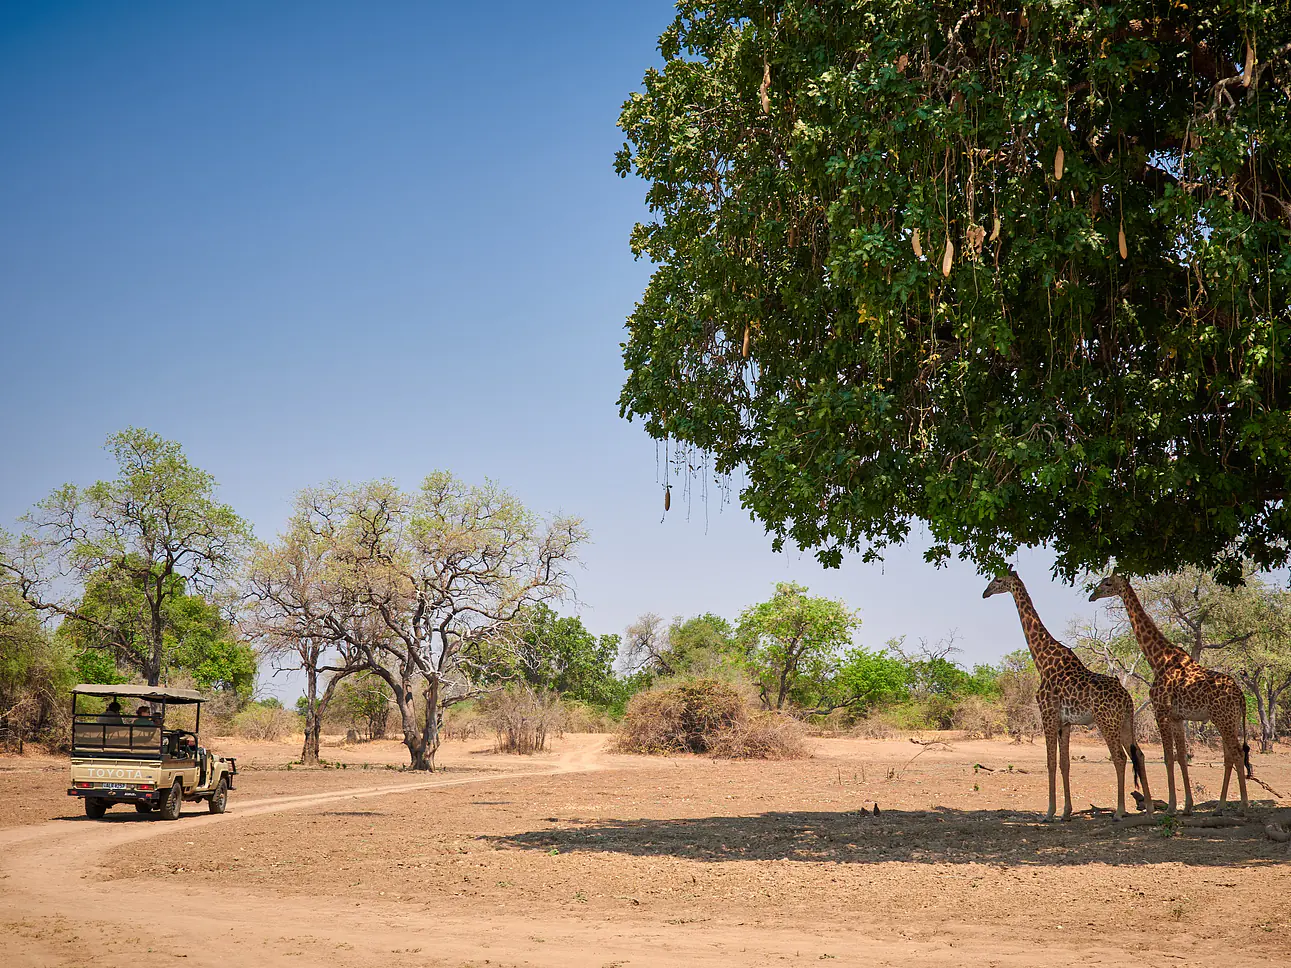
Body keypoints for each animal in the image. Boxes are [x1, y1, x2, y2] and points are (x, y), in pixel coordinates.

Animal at [986, 573, 1151, 820]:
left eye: (997, 580)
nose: (984, 593)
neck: (1042, 660)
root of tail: (1127, 700)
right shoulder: (1065, 722)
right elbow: (1065, 763)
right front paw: (1065, 812)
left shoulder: (1048, 715)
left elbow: (1050, 762)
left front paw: (1049, 813)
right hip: (1125, 723)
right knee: (1138, 754)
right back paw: (1149, 807)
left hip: (1106, 721)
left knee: (1120, 758)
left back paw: (1120, 811)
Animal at [1089, 575, 1249, 820]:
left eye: (1107, 583)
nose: (1092, 595)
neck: (1157, 659)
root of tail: (1241, 696)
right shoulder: (1177, 717)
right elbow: (1181, 757)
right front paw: (1188, 806)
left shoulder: (1161, 711)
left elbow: (1167, 757)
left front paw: (1173, 806)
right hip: (1229, 720)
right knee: (1230, 755)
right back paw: (1220, 807)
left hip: (1223, 719)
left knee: (1237, 754)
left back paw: (1242, 807)